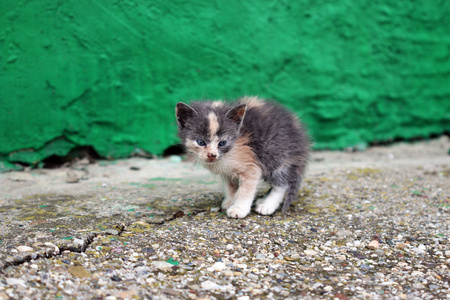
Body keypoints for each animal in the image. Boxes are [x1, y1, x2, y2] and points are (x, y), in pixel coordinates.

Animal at [176, 96, 310, 218]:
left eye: (222, 143)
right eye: (200, 142)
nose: (212, 155)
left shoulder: (251, 165)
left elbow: (245, 190)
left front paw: (239, 209)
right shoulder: (227, 172)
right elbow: (229, 186)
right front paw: (230, 201)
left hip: (274, 153)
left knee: (282, 184)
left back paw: (267, 205)